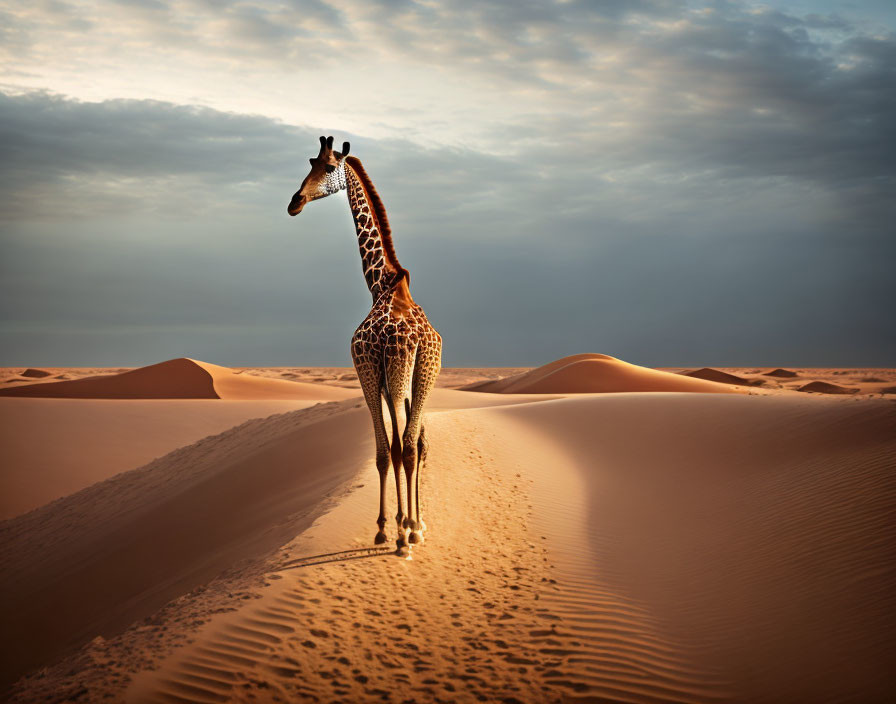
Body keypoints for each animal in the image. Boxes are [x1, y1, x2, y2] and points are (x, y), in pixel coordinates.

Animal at [288, 138, 440, 556]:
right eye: (310, 161)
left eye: (327, 167)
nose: (295, 201)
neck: (381, 283)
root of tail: (419, 341)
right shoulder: (393, 383)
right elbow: (403, 445)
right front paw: (408, 522)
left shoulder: (367, 373)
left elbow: (383, 452)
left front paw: (387, 528)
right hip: (424, 375)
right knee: (416, 444)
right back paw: (416, 529)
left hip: (396, 375)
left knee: (401, 447)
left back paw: (403, 536)